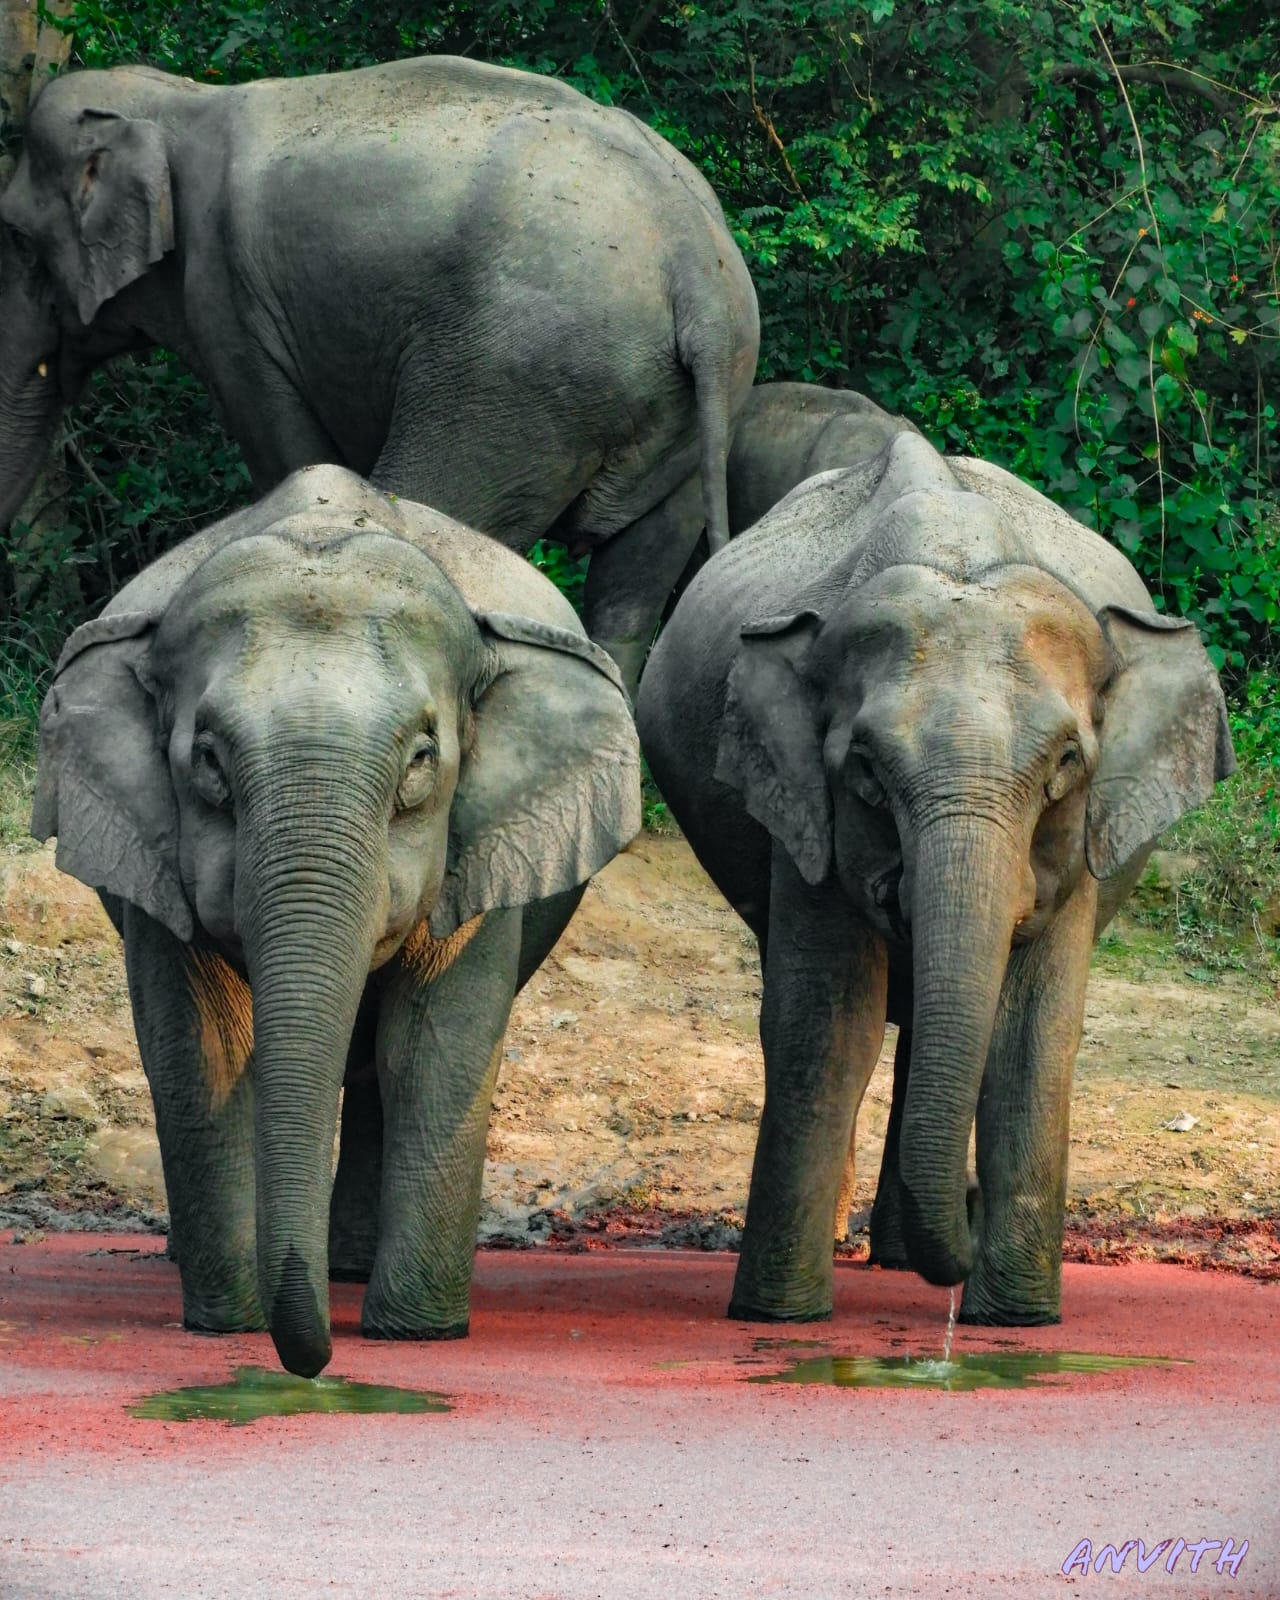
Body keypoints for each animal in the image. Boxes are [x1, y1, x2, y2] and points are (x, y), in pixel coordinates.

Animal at [0, 55, 760, 692]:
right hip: (675, 411)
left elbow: (291, 456)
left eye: (18, 243)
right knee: (634, 587)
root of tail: (694, 260)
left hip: (514, 382)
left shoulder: (231, 308)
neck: (173, 98)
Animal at [31, 463, 641, 1377]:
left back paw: (350, 1274)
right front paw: (228, 1324)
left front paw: (417, 1333)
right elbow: (203, 1046)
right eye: (206, 760)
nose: (311, 1367)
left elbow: (434, 1048)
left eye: (422, 761)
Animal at [637, 429, 1234, 1327]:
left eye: (1065, 765)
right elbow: (827, 1023)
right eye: (866, 771)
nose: (972, 1204)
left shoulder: (1082, 840)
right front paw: (780, 1317)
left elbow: (1031, 1033)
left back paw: (895, 1253)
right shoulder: (808, 816)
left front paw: (1017, 1320)